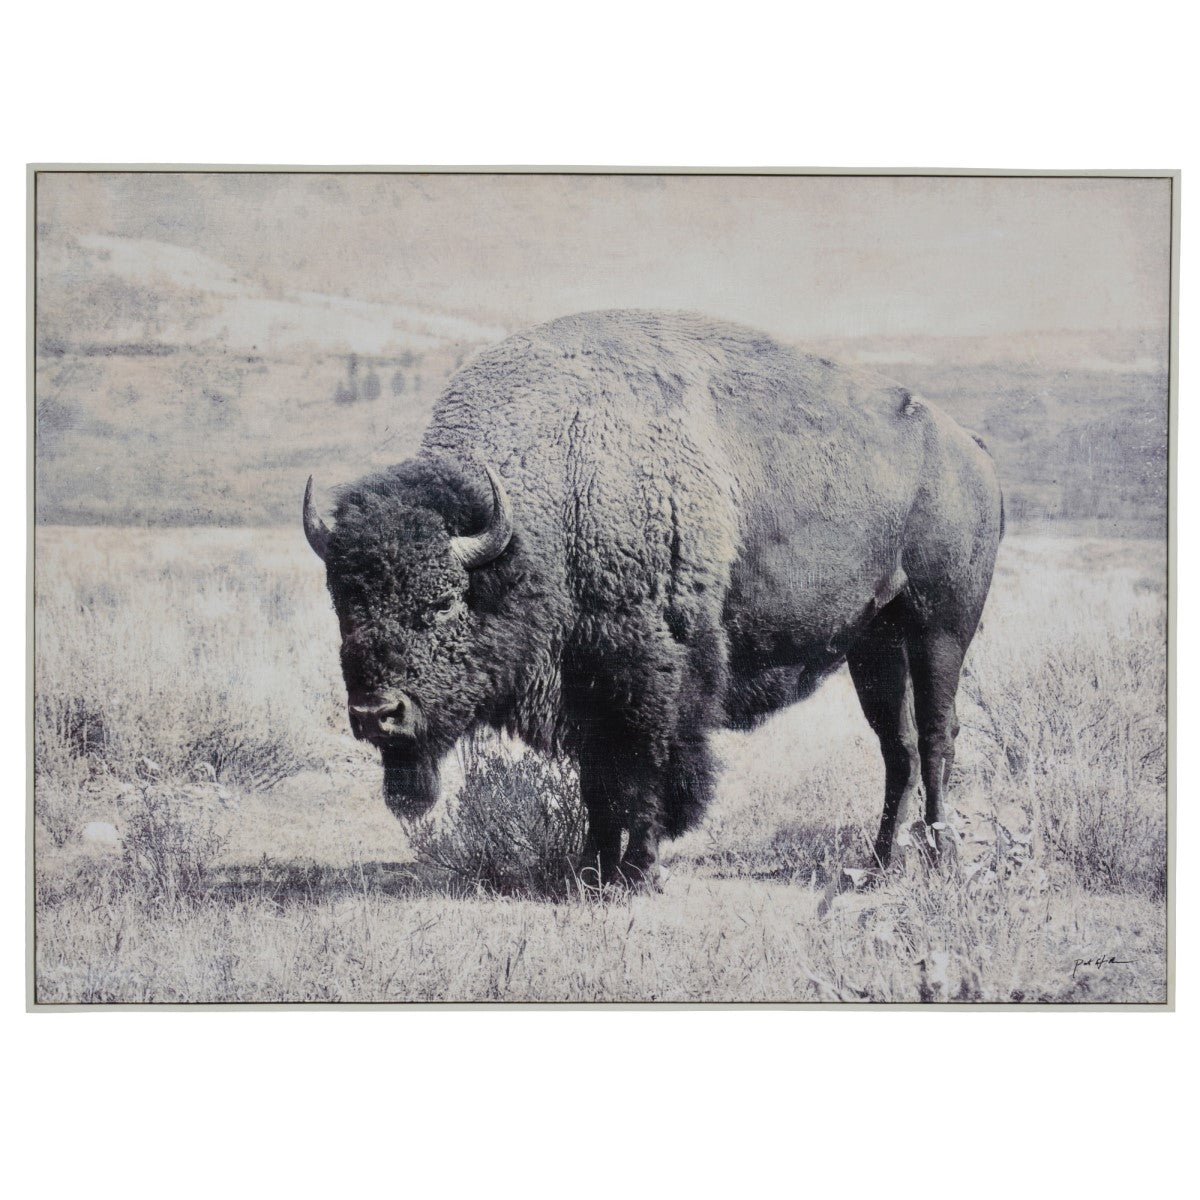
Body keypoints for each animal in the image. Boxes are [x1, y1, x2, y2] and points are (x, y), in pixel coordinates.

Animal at [303, 310, 1003, 886]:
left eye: (444, 602)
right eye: (343, 603)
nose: (376, 715)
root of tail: (970, 450)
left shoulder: (650, 676)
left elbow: (646, 775)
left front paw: (637, 872)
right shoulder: (586, 689)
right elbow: (598, 785)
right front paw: (590, 872)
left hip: (941, 626)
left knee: (936, 734)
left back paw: (941, 860)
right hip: (874, 642)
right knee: (898, 744)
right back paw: (881, 864)